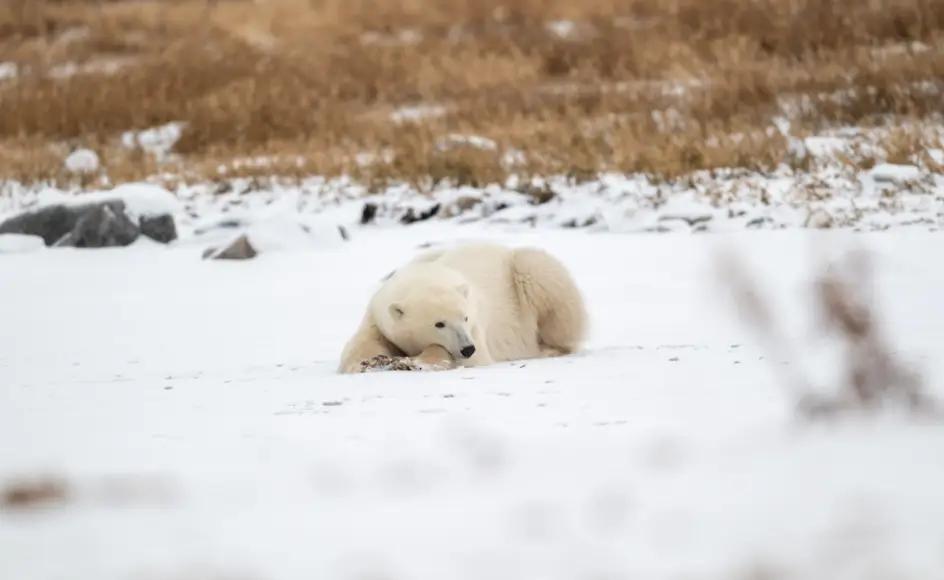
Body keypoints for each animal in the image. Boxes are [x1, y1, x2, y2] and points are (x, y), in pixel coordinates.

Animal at [340, 242, 588, 374]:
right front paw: (367, 363)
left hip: (528, 272)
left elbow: (467, 359)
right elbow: (361, 345)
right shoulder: (377, 316)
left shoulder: (477, 330)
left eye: (465, 318)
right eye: (439, 323)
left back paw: (548, 348)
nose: (468, 348)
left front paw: (413, 362)